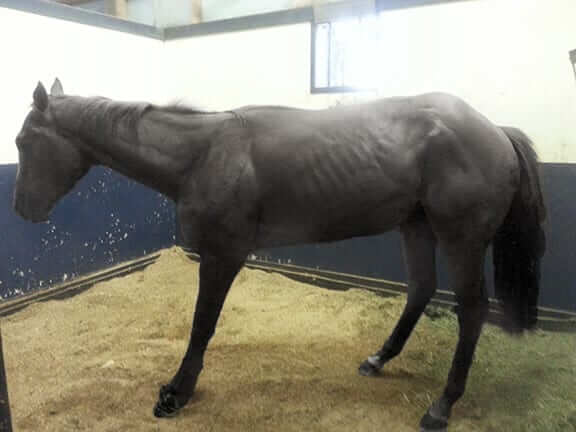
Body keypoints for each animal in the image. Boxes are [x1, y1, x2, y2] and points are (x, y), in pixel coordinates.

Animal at [13, 79, 546, 431]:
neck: (204, 153)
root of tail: (495, 131)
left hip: (461, 238)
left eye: (23, 141)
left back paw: (441, 406)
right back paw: (378, 360)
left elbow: (202, 324)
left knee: (471, 311)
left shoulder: (223, 254)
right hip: (415, 226)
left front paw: (176, 393)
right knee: (421, 290)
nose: (22, 209)